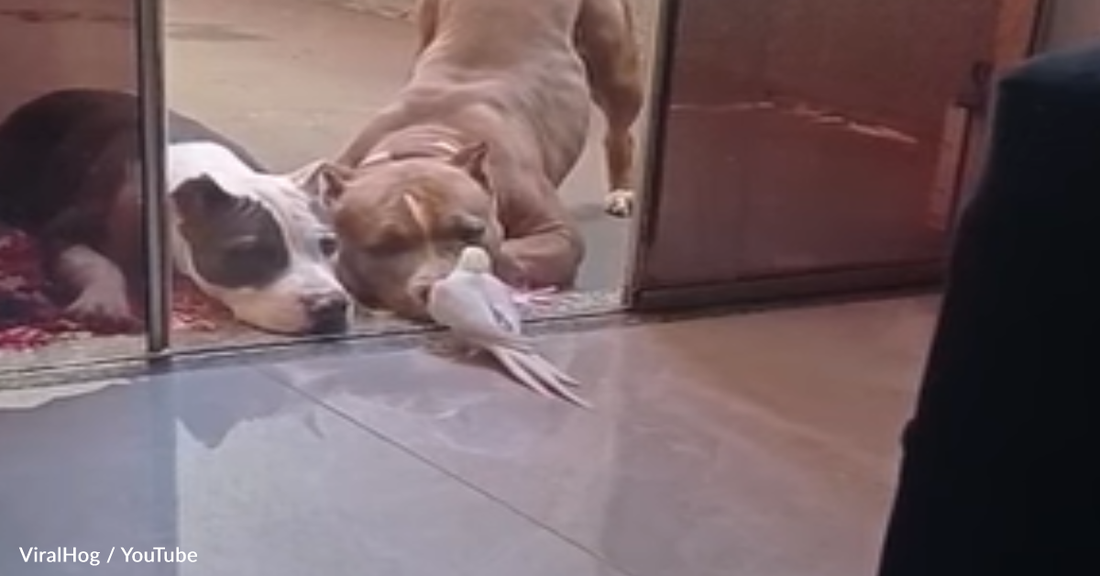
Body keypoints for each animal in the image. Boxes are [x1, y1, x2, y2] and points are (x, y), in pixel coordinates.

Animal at [0, 87, 352, 334]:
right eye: (250, 252)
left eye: (330, 245)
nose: (330, 305)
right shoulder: (64, 229)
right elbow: (97, 262)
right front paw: (103, 303)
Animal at [305, 0, 642, 318]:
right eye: (383, 246)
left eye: (471, 232)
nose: (440, 287)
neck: (425, 138)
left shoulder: (558, 233)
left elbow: (508, 252)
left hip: (614, 64)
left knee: (619, 129)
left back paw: (622, 191)